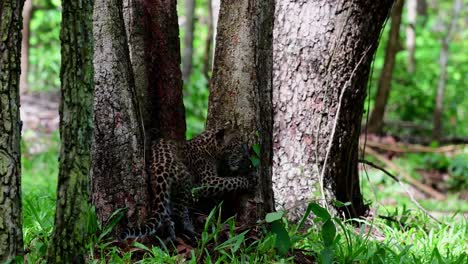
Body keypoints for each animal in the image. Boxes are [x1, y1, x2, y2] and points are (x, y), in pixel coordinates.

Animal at [118, 122, 256, 242]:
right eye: (238, 146)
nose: (248, 157)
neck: (211, 147)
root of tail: (161, 169)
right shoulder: (207, 181)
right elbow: (231, 181)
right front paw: (249, 180)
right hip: (186, 182)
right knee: (179, 210)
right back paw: (190, 230)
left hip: (161, 190)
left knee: (165, 213)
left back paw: (171, 235)